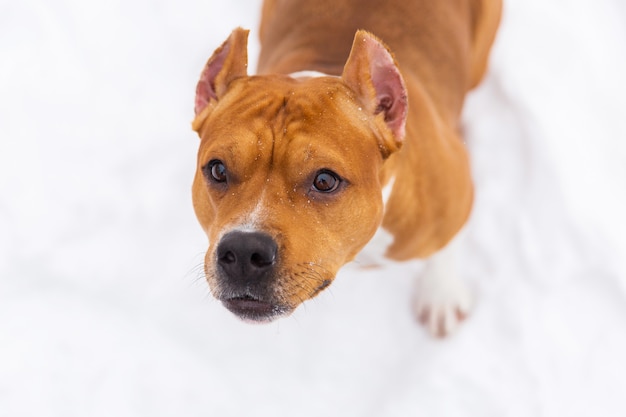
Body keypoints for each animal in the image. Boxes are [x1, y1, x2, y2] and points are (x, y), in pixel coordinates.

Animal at [188, 0, 500, 334]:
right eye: (218, 170)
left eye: (325, 181)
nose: (245, 251)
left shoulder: (456, 204)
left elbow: (443, 252)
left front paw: (441, 296)